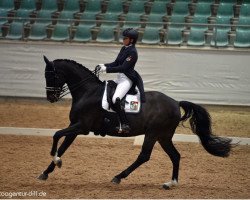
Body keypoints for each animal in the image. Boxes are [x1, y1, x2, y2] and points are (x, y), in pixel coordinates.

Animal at [37, 55, 232, 189]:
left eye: (51, 75)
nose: (51, 98)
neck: (88, 92)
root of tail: (176, 103)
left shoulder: (82, 127)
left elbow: (56, 135)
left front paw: (55, 158)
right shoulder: (75, 128)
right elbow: (63, 145)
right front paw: (47, 171)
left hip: (153, 133)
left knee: (144, 155)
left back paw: (118, 177)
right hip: (163, 136)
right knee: (175, 155)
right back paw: (170, 183)